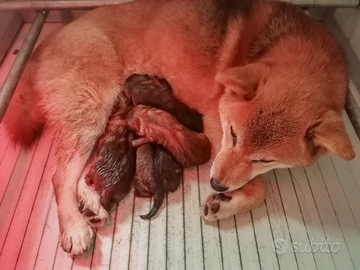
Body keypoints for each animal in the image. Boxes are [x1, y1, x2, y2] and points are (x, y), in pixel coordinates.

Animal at [2, 0, 356, 255]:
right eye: (233, 134)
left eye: (266, 159)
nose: (214, 184)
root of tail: (48, 41)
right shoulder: (215, 129)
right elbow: (259, 188)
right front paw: (228, 203)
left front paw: (228, 201)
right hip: (92, 108)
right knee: (61, 175)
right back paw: (74, 225)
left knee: (81, 170)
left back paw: (90, 202)